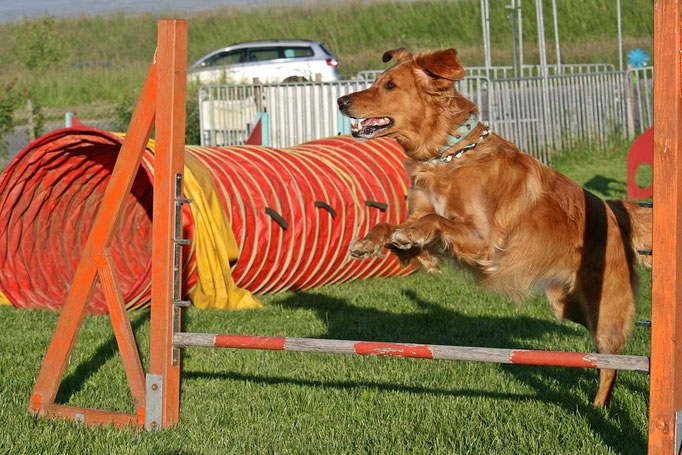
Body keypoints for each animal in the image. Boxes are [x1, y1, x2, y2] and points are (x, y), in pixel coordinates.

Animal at [338, 48, 652, 408]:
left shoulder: (484, 241)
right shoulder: (428, 241)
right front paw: (368, 242)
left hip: (606, 311)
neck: (447, 156)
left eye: (390, 85)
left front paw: (407, 233)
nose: (341, 101)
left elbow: (434, 221)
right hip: (567, 303)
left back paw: (599, 406)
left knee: (610, 362)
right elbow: (392, 224)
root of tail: (614, 211)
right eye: (376, 80)